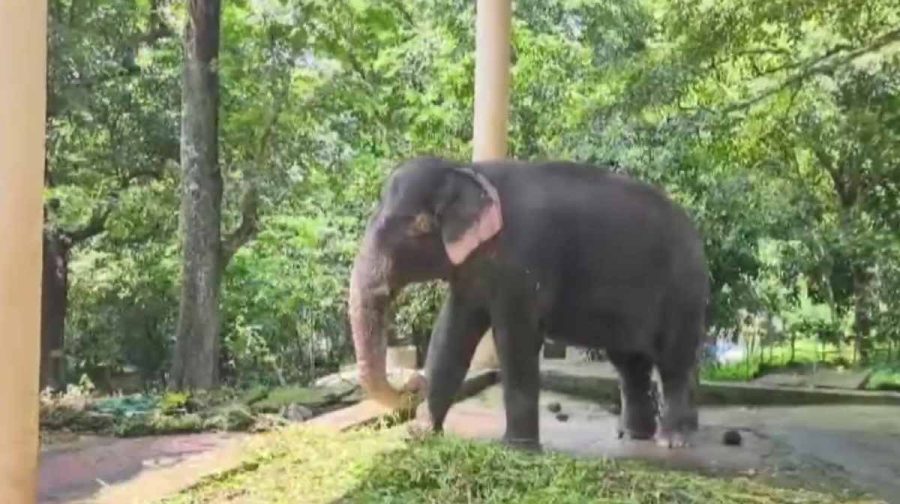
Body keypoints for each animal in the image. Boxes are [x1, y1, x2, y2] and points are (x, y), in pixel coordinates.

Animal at [348, 156, 710, 450]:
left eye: (420, 226)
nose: (413, 381)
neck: (469, 170)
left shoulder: (523, 259)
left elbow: (514, 338)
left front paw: (516, 449)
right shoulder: (471, 273)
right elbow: (450, 335)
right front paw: (420, 435)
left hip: (684, 289)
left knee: (673, 361)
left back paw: (671, 441)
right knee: (630, 363)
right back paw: (633, 436)